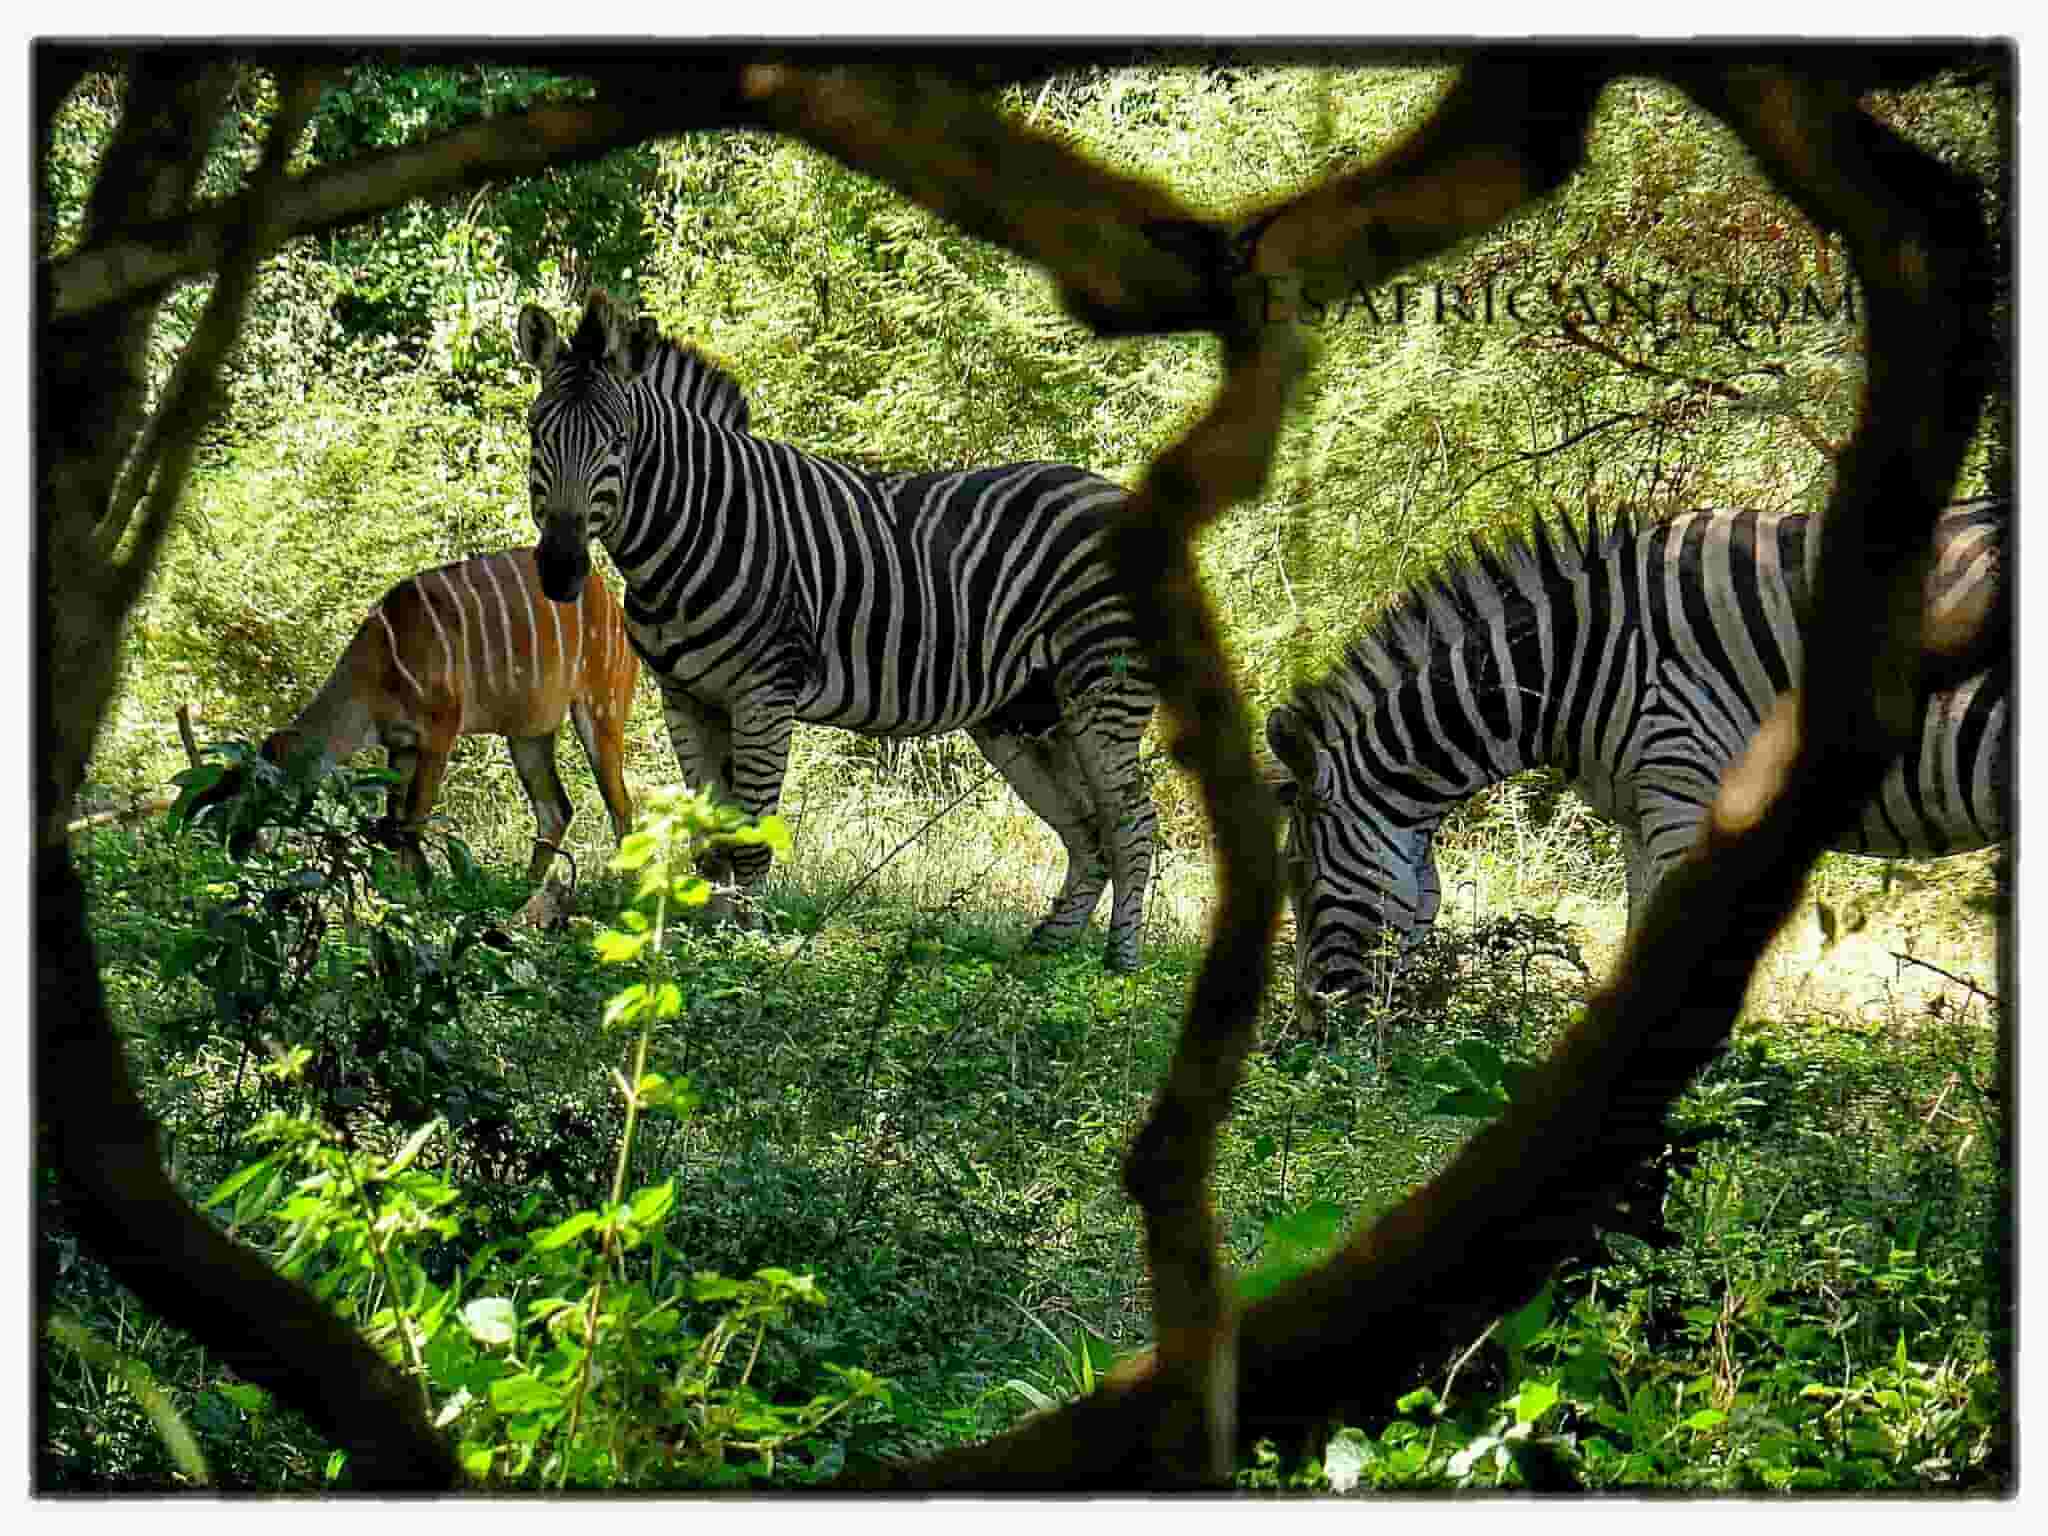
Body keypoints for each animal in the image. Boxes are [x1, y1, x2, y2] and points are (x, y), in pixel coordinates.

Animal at [193, 548, 638, 897]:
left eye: (264, 788)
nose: (237, 844)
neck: (379, 669)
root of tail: (613, 605)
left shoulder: (440, 731)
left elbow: (413, 821)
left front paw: (422, 895)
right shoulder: (400, 744)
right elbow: (392, 822)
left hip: (601, 708)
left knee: (619, 802)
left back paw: (625, 897)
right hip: (528, 732)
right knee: (555, 810)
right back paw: (522, 899)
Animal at [512, 290, 1163, 974]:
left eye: (619, 440)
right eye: (535, 432)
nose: (559, 568)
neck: (691, 530)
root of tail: (1116, 495)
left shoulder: (764, 695)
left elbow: (750, 835)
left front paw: (745, 948)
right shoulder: (685, 699)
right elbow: (711, 836)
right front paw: (701, 944)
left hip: (1103, 692)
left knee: (1133, 822)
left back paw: (1120, 963)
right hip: (1025, 717)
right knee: (1088, 829)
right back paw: (1045, 955)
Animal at [1269, 499, 2007, 1015]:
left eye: (1299, 880)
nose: (1306, 1033)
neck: (1575, 664)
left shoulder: (1687, 792)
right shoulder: (1638, 810)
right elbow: (1635, 935)